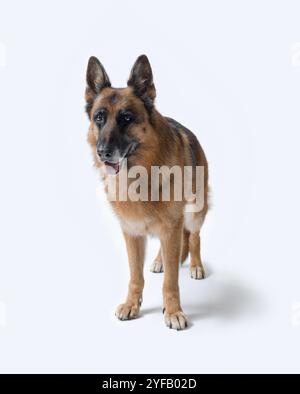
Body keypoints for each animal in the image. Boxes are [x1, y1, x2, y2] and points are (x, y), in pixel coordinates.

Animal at [85, 53, 209, 328]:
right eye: (99, 117)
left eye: (126, 118)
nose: (103, 152)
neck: (140, 176)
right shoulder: (132, 232)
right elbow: (135, 276)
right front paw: (132, 304)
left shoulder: (172, 226)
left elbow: (171, 281)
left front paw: (173, 311)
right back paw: (160, 260)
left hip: (195, 212)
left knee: (194, 237)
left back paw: (195, 265)